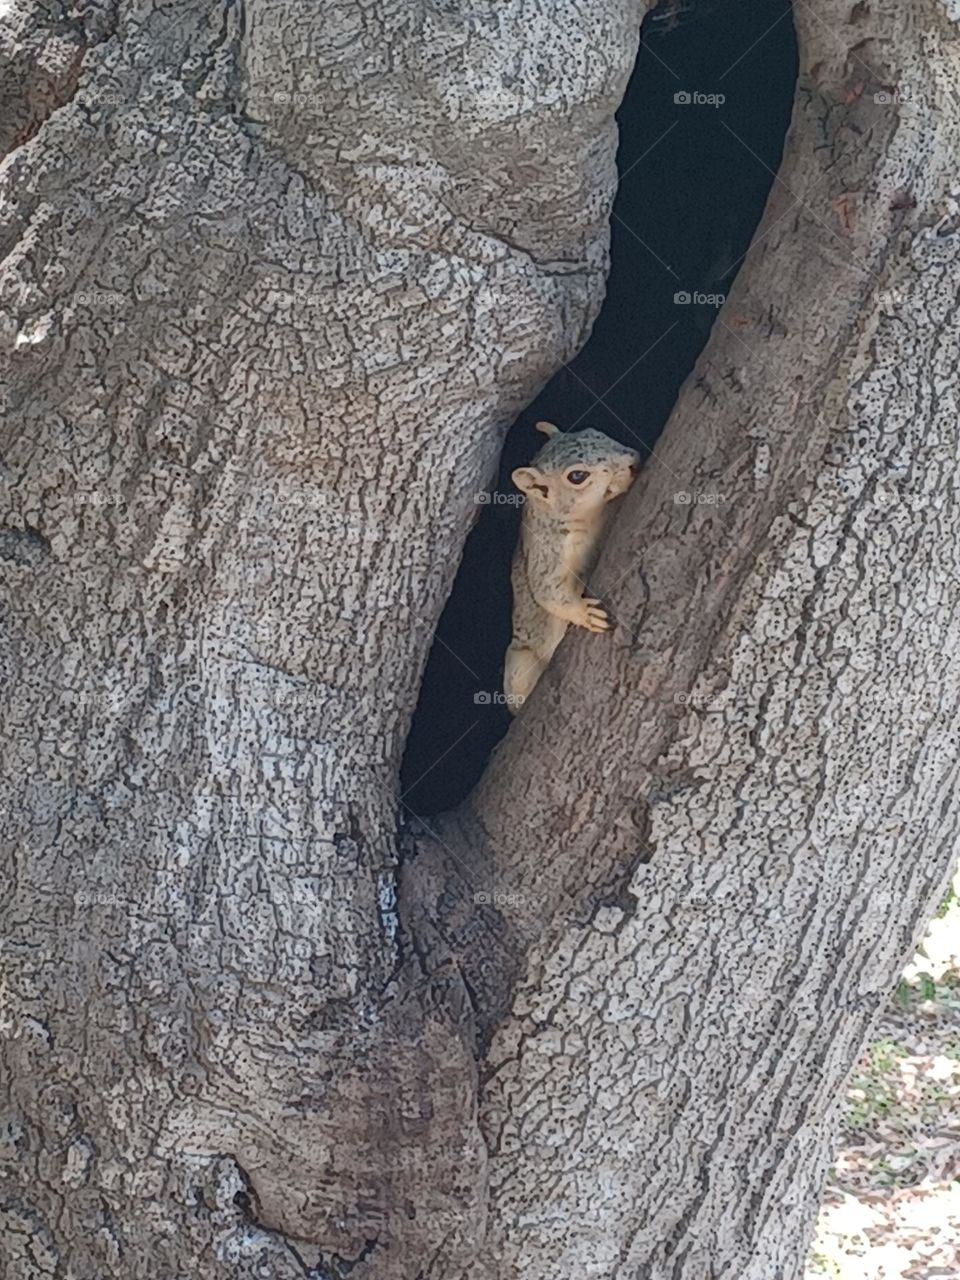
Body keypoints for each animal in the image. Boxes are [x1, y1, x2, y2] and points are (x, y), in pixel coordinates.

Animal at [503, 421, 640, 712]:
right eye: (577, 476)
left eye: (597, 432)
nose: (632, 461)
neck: (591, 517)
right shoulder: (547, 551)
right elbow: (547, 590)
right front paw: (586, 613)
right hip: (520, 663)